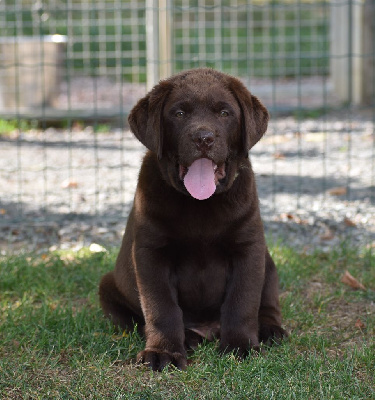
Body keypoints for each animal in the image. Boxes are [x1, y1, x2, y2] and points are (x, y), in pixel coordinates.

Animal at [100, 67, 288, 370]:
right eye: (179, 113)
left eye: (224, 113)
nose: (204, 138)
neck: (200, 203)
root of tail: (208, 329)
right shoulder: (150, 253)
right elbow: (161, 308)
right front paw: (163, 352)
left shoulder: (249, 248)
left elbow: (242, 301)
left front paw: (241, 345)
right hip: (108, 286)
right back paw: (188, 338)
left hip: (268, 263)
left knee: (267, 302)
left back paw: (270, 330)